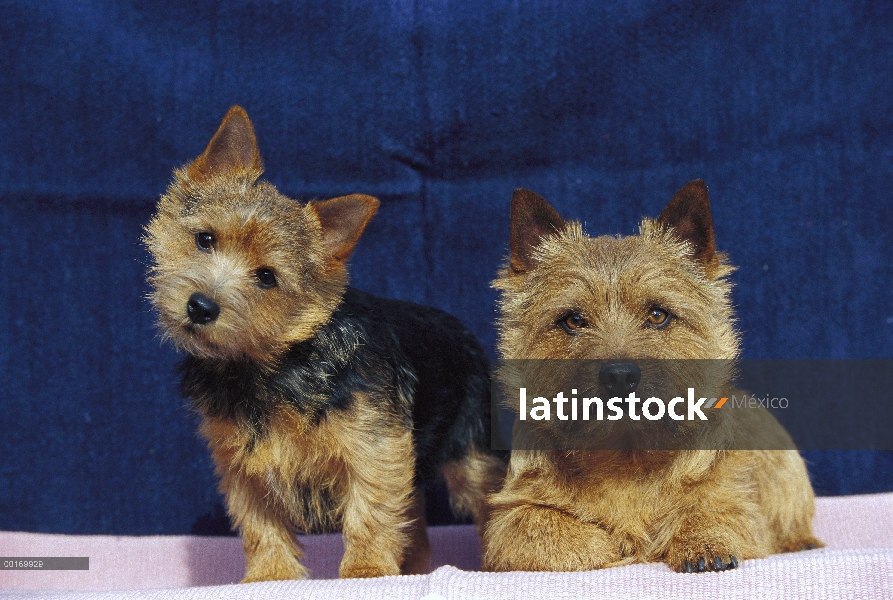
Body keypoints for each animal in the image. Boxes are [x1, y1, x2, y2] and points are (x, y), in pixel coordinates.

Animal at [144, 106, 506, 580]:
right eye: (205, 239)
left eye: (267, 277)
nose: (201, 306)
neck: (275, 364)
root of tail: (460, 329)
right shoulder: (244, 463)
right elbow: (259, 522)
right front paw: (269, 575)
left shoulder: (375, 449)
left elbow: (370, 510)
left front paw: (367, 570)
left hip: (470, 450)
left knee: (485, 498)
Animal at [484, 182, 820, 572]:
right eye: (573, 320)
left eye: (658, 315)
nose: (619, 376)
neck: (624, 459)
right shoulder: (509, 515)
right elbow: (540, 527)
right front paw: (610, 548)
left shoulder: (737, 499)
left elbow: (717, 510)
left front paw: (703, 542)